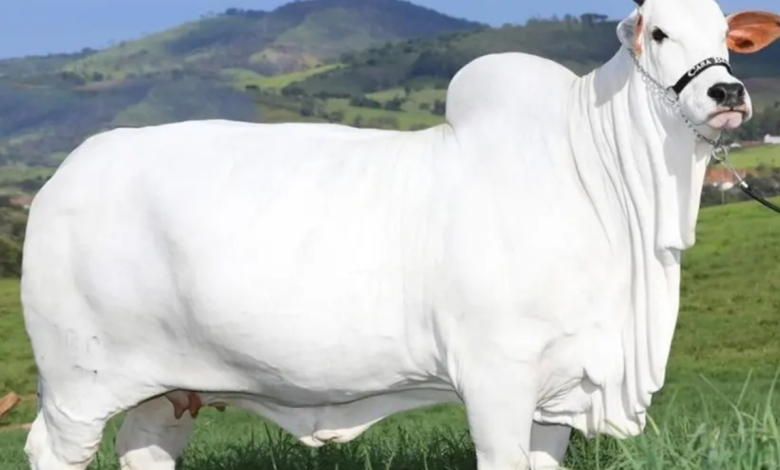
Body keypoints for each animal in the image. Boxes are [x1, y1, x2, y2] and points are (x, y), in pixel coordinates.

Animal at [20, 0, 780, 469]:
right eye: (660, 33)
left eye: (725, 36)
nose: (727, 93)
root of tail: (67, 174)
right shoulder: (496, 376)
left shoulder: (559, 389)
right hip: (77, 385)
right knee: (51, 451)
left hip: (169, 390)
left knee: (145, 449)